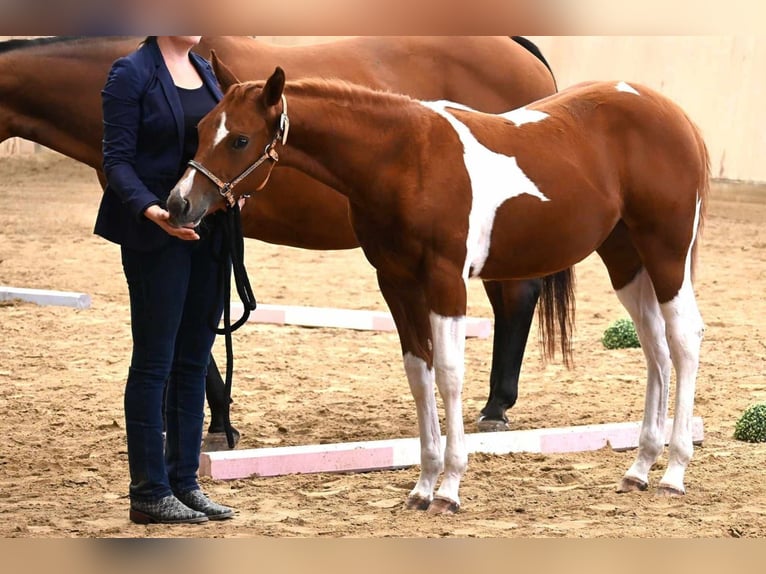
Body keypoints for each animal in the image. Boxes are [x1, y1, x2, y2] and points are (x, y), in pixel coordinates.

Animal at [167, 64, 709, 513]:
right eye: (201, 130)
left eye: (239, 139)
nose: (178, 204)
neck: (405, 159)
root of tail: (673, 114)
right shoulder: (397, 284)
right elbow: (419, 373)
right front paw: (423, 486)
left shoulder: (446, 281)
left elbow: (448, 374)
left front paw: (449, 488)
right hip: (625, 259)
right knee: (655, 347)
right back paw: (639, 468)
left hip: (666, 252)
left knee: (684, 340)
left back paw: (674, 473)